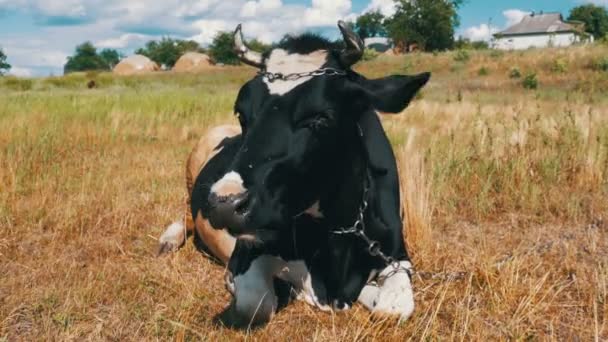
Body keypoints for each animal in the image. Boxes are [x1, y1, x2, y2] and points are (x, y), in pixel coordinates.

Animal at [158, 20, 432, 328]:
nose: (224, 203)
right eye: (242, 114)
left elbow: (393, 309)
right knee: (185, 213)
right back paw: (168, 240)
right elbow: (256, 303)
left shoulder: (396, 255)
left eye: (320, 118)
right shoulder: (246, 252)